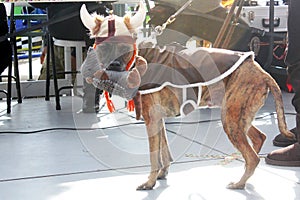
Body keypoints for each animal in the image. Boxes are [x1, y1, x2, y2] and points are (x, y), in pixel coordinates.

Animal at [79, 1, 296, 189]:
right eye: (103, 46)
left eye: (125, 47)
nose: (114, 67)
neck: (140, 57)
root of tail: (260, 70)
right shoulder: (158, 120)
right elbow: (164, 152)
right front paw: (162, 174)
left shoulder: (151, 120)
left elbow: (154, 156)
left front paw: (150, 182)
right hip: (240, 117)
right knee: (258, 139)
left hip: (230, 119)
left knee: (252, 157)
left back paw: (239, 182)